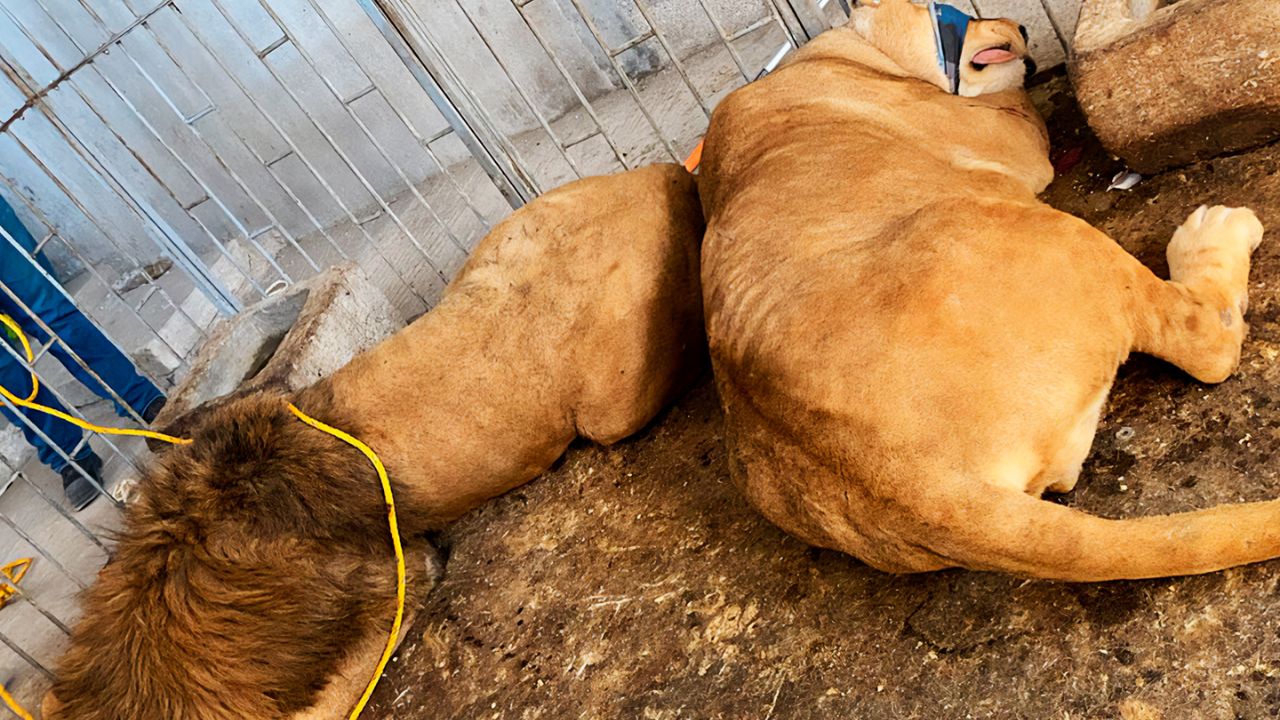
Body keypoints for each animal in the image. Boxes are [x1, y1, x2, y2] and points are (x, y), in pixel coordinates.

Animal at [696, 0, 1274, 579]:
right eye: (958, 12)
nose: (1018, 26)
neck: (848, 53)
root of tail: (920, 487)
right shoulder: (1008, 135)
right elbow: (1014, 99)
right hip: (1033, 230)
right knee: (1208, 344)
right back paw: (1216, 233)